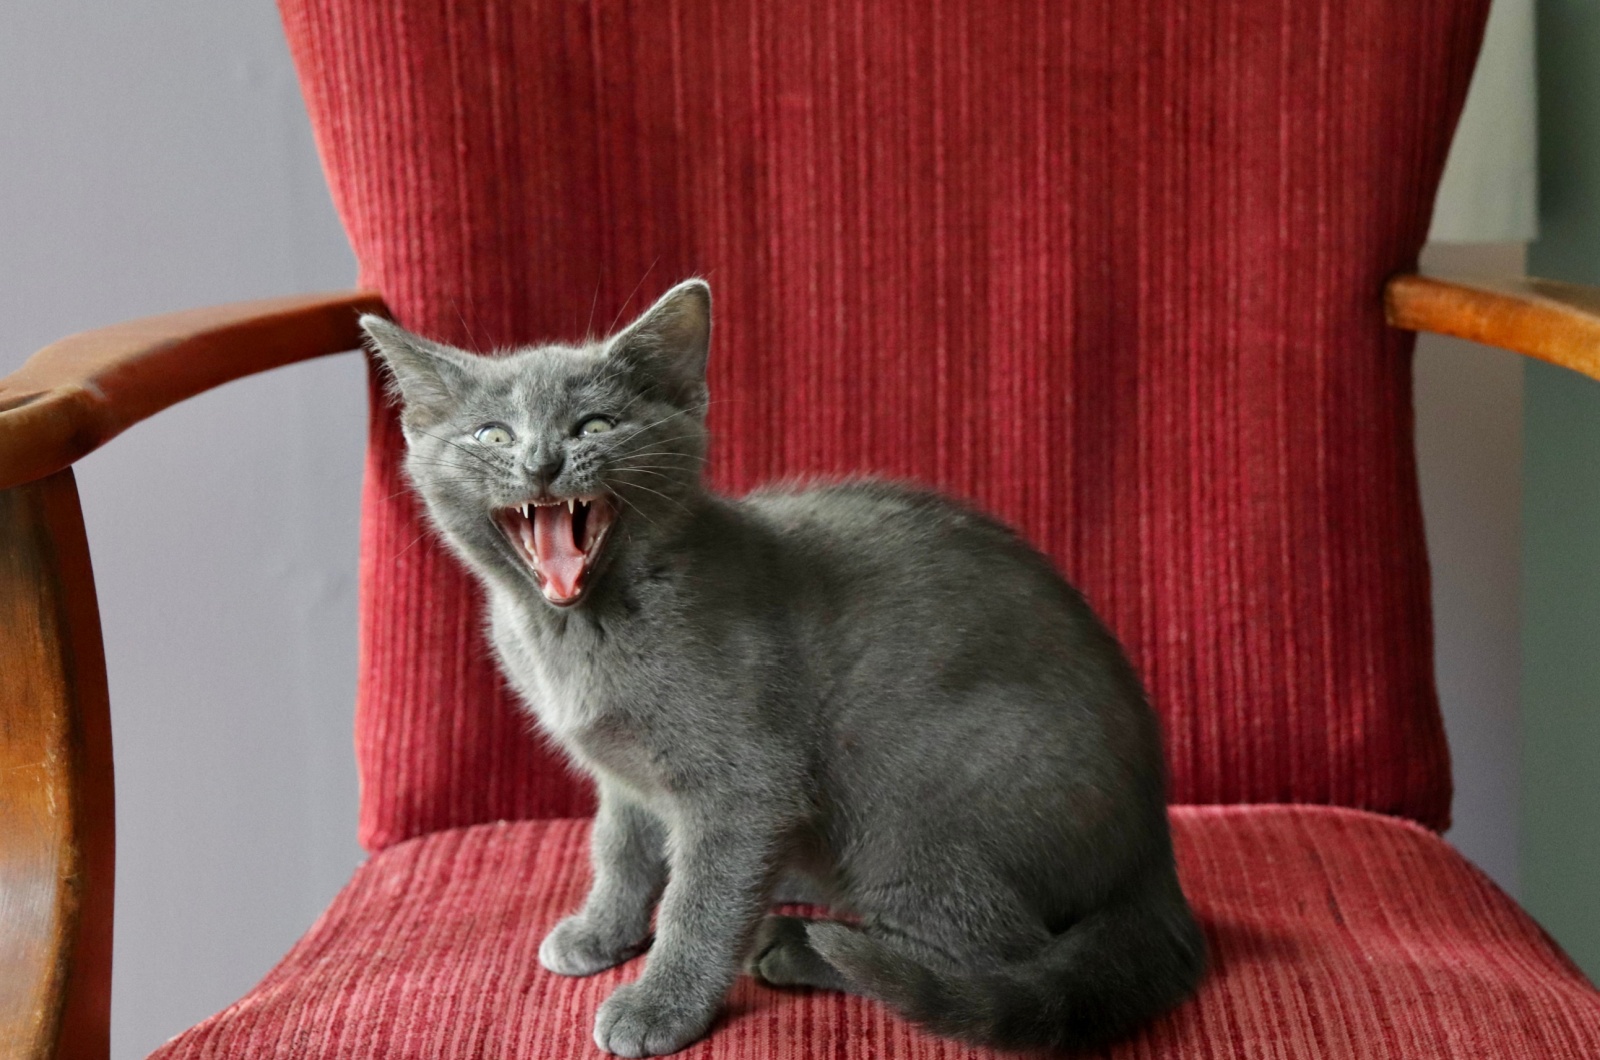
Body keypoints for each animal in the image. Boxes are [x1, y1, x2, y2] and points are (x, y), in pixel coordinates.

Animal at [363, 285, 1203, 1060]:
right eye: (492, 433)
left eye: (595, 425)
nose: (541, 461)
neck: (576, 630)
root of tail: (1153, 857)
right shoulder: (623, 776)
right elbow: (619, 850)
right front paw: (601, 933)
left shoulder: (746, 784)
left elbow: (699, 902)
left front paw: (659, 1006)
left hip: (907, 807)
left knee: (994, 954)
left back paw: (796, 944)